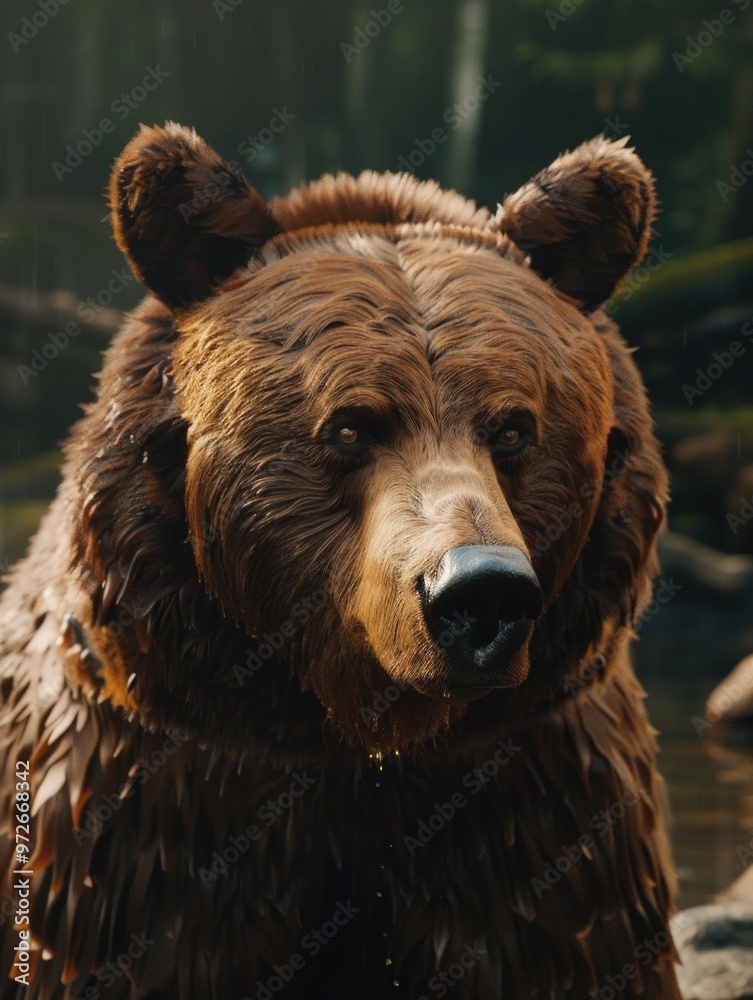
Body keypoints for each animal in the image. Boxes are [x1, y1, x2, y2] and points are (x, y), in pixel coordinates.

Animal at [0, 122, 681, 999]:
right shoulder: (150, 815)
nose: (480, 594)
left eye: (513, 428)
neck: (351, 741)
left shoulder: (532, 805)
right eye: (351, 426)